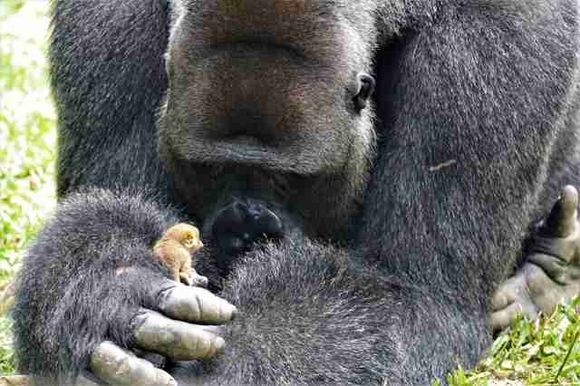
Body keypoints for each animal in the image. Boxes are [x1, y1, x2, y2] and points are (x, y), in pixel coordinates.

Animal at [10, 0, 580, 384]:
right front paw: (106, 286)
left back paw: (549, 272)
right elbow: (113, 208)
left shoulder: (495, 45)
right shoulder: (105, 20)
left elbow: (413, 293)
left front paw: (234, 359)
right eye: (213, 170)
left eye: (288, 180)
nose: (247, 229)